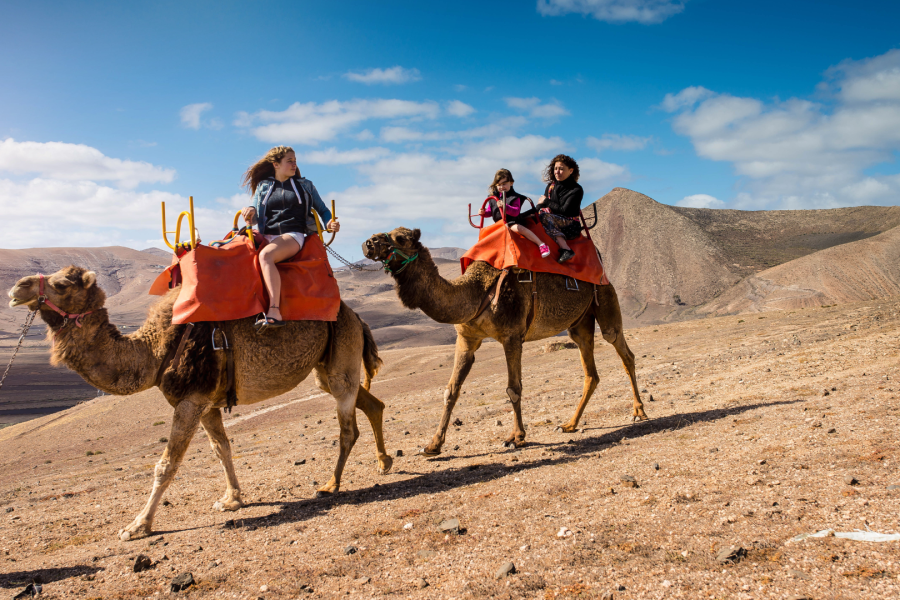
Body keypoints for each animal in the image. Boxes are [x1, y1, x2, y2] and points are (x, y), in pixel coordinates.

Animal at [6, 266, 394, 540]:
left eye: (61, 284)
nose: (16, 288)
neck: (156, 350)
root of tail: (356, 315)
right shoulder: (207, 404)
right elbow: (222, 448)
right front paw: (232, 499)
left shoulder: (190, 401)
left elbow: (166, 465)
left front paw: (137, 526)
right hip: (325, 366)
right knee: (370, 403)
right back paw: (384, 462)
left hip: (341, 349)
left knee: (347, 426)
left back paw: (331, 484)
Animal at [362, 229, 644, 454]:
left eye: (400, 238)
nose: (368, 242)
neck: (476, 292)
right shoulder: (466, 338)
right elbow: (451, 390)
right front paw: (432, 445)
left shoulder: (512, 336)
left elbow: (513, 388)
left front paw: (516, 437)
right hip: (579, 323)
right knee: (590, 371)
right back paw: (569, 424)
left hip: (605, 297)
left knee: (621, 348)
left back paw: (639, 411)